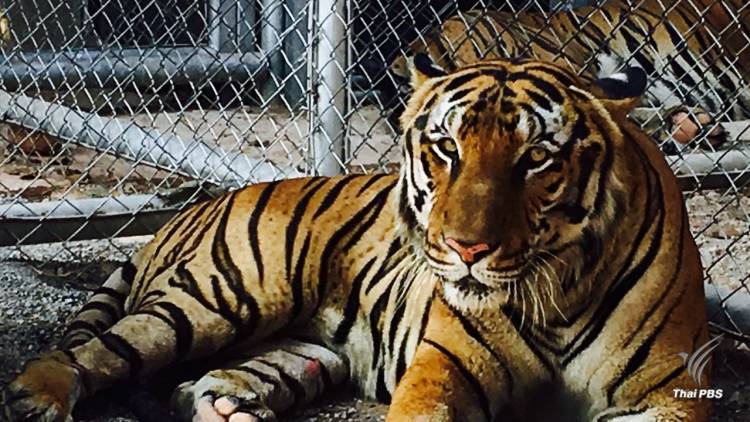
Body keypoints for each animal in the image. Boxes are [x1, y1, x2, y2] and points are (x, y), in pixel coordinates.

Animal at [2, 54, 709, 422]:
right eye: (446, 147)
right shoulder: (445, 368)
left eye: (536, 158)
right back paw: (37, 397)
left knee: (199, 385)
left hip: (302, 348)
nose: (466, 250)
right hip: (216, 298)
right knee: (93, 352)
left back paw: (230, 408)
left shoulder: (669, 392)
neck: (556, 292)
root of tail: (199, 203)